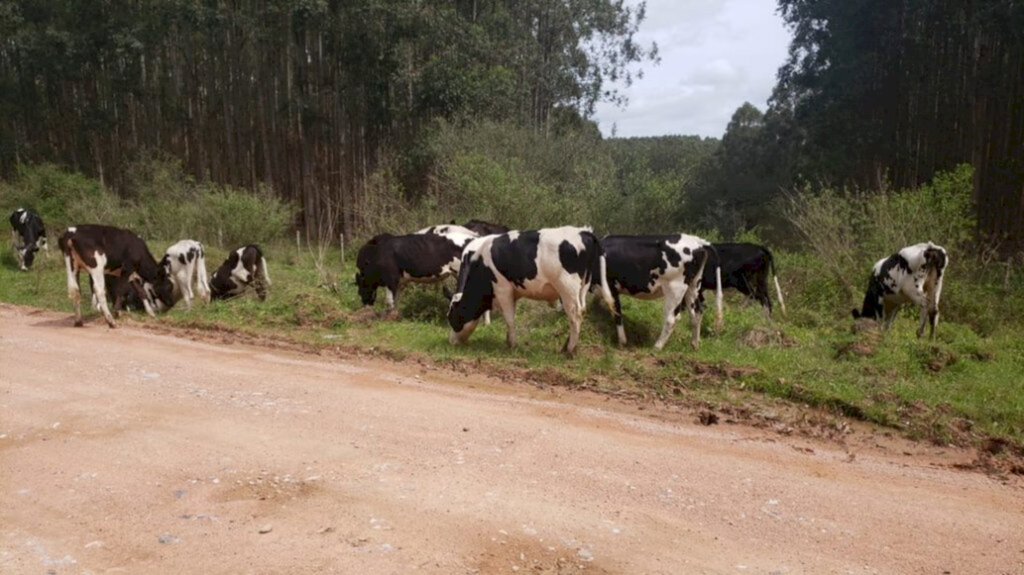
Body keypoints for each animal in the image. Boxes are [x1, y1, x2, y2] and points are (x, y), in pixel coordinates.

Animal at [448, 226, 614, 356]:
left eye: (452, 317)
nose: (452, 342)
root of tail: (583, 232)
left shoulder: (503, 289)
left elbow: (509, 318)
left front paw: (512, 344)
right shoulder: (513, 293)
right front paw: (508, 340)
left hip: (568, 289)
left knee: (575, 315)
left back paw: (570, 350)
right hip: (582, 288)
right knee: (581, 313)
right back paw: (567, 346)